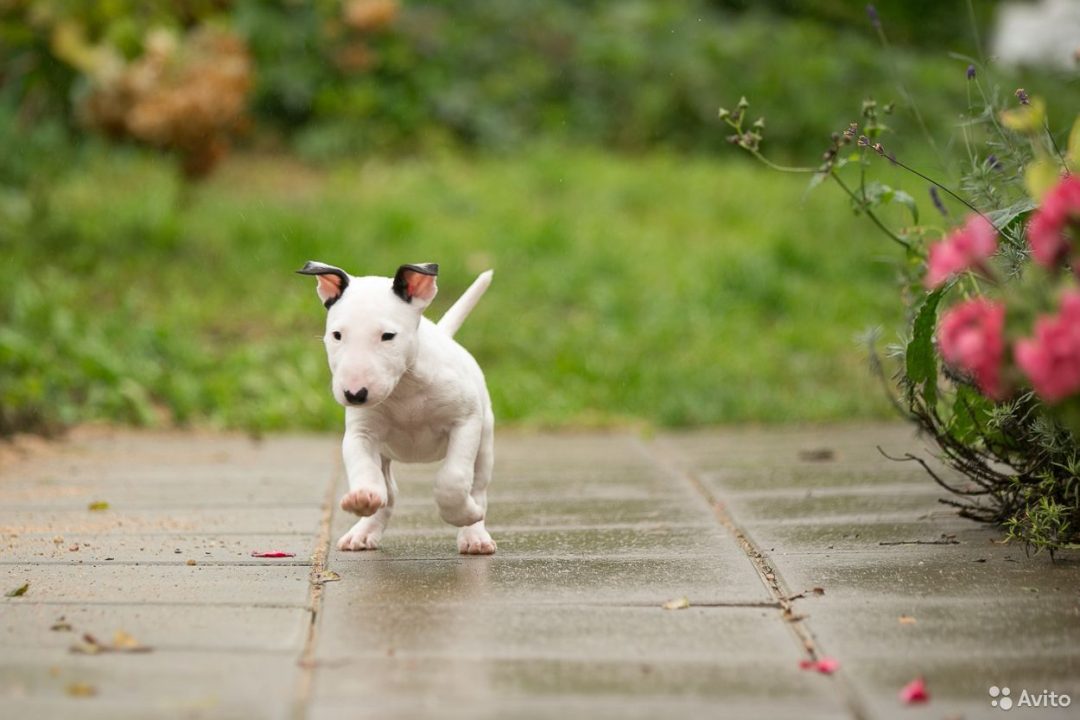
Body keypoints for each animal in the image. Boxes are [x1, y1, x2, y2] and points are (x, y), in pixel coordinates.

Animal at [295, 260, 496, 557]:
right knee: (390, 493)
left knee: (479, 486)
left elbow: (453, 479)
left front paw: (464, 514)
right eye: (337, 335)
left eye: (388, 336)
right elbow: (362, 467)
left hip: (484, 441)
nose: (355, 394)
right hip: (385, 454)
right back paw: (363, 531)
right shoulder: (361, 432)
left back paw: (475, 534)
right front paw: (363, 497)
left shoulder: (465, 421)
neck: (404, 388)